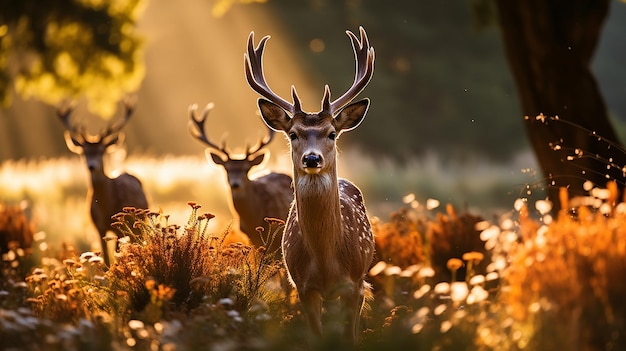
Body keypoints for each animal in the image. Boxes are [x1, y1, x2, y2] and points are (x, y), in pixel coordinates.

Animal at [56, 100, 149, 266]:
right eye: (83, 152)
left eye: (101, 151)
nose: (91, 166)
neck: (106, 208)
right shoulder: (98, 227)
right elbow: (106, 258)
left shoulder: (119, 225)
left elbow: (115, 256)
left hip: (139, 220)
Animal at [244, 27, 376, 346]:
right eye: (293, 133)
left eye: (331, 133)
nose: (312, 158)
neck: (327, 259)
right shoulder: (303, 286)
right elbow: (316, 338)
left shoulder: (355, 285)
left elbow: (351, 339)